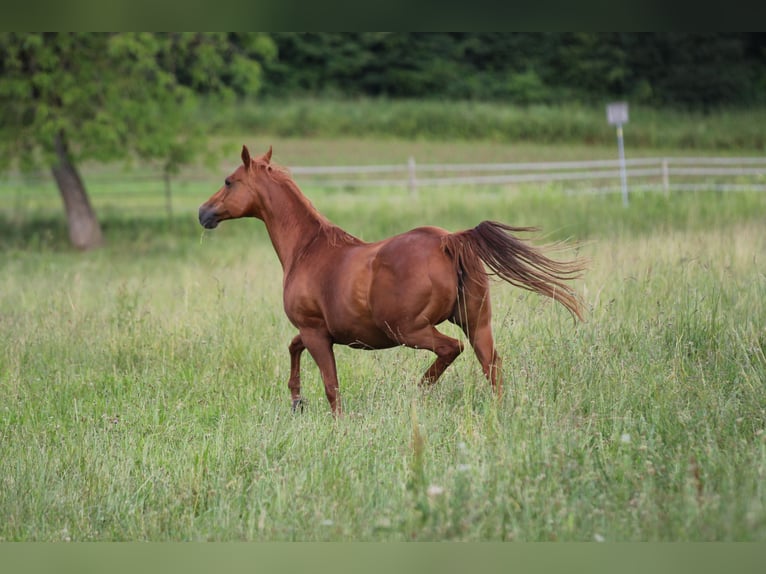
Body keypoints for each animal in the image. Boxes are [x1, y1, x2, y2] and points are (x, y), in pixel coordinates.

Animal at [199, 145, 586, 416]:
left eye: (229, 181)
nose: (203, 213)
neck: (308, 249)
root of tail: (448, 241)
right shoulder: (316, 332)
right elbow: (293, 349)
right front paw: (296, 399)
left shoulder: (315, 332)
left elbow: (331, 387)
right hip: (478, 325)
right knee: (493, 369)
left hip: (409, 330)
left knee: (451, 349)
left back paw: (417, 393)